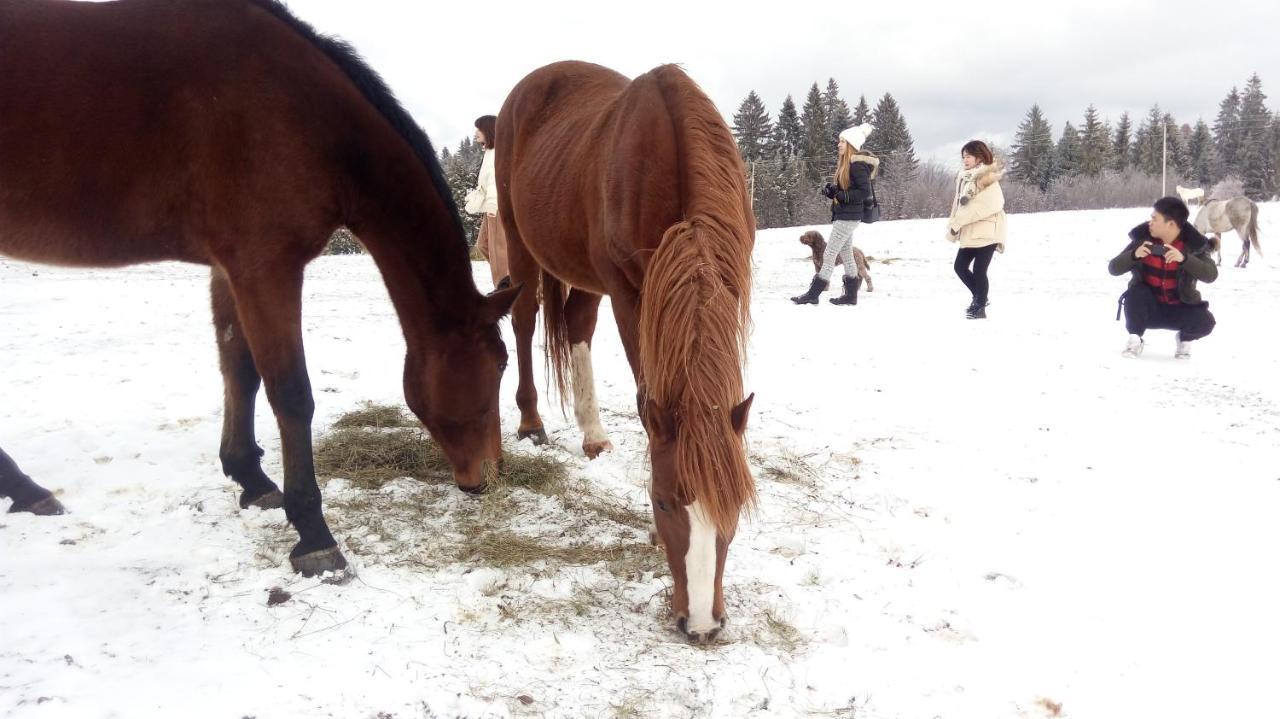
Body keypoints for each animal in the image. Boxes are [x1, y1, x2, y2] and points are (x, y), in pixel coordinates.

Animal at [2, 0, 519, 573]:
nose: (490, 475)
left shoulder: (230, 269)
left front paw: (249, 476)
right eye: (499, 366)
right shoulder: (265, 266)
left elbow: (240, 370)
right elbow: (290, 393)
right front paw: (314, 532)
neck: (303, 114)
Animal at [496, 61, 757, 639]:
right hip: (519, 239)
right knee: (524, 322)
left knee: (577, 325)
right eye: (661, 500)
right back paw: (531, 421)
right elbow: (646, 395)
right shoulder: (626, 289)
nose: (701, 625)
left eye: (735, 501)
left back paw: (592, 434)